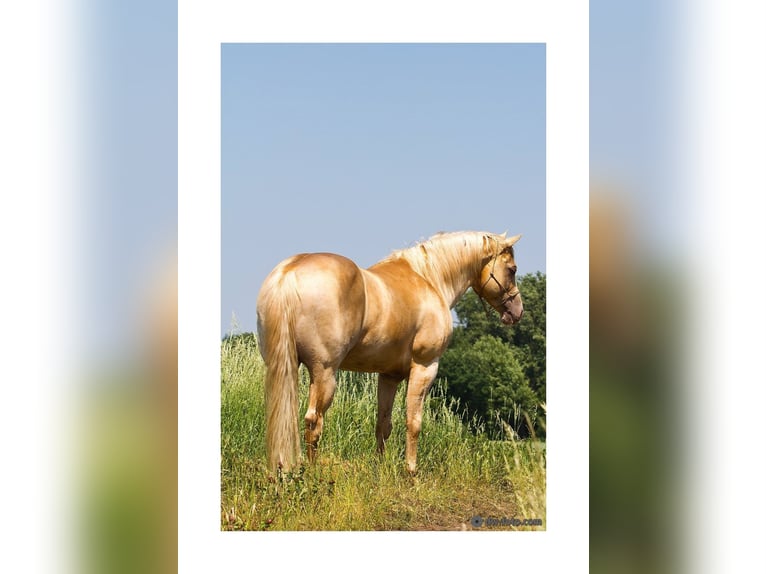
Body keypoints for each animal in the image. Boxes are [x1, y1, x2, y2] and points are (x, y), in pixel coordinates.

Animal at [256, 231, 523, 474]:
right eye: (512, 269)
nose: (517, 311)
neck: (429, 278)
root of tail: (289, 273)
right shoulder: (425, 368)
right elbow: (413, 422)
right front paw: (411, 471)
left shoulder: (388, 376)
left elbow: (383, 424)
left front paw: (380, 468)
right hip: (324, 373)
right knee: (313, 421)